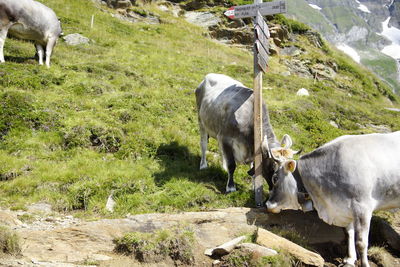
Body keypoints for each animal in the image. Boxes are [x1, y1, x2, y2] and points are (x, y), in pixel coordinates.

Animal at [266, 132, 400, 267]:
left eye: (275, 178)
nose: (267, 205)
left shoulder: (362, 206)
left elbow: (361, 242)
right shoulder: (345, 207)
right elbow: (349, 233)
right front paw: (349, 259)